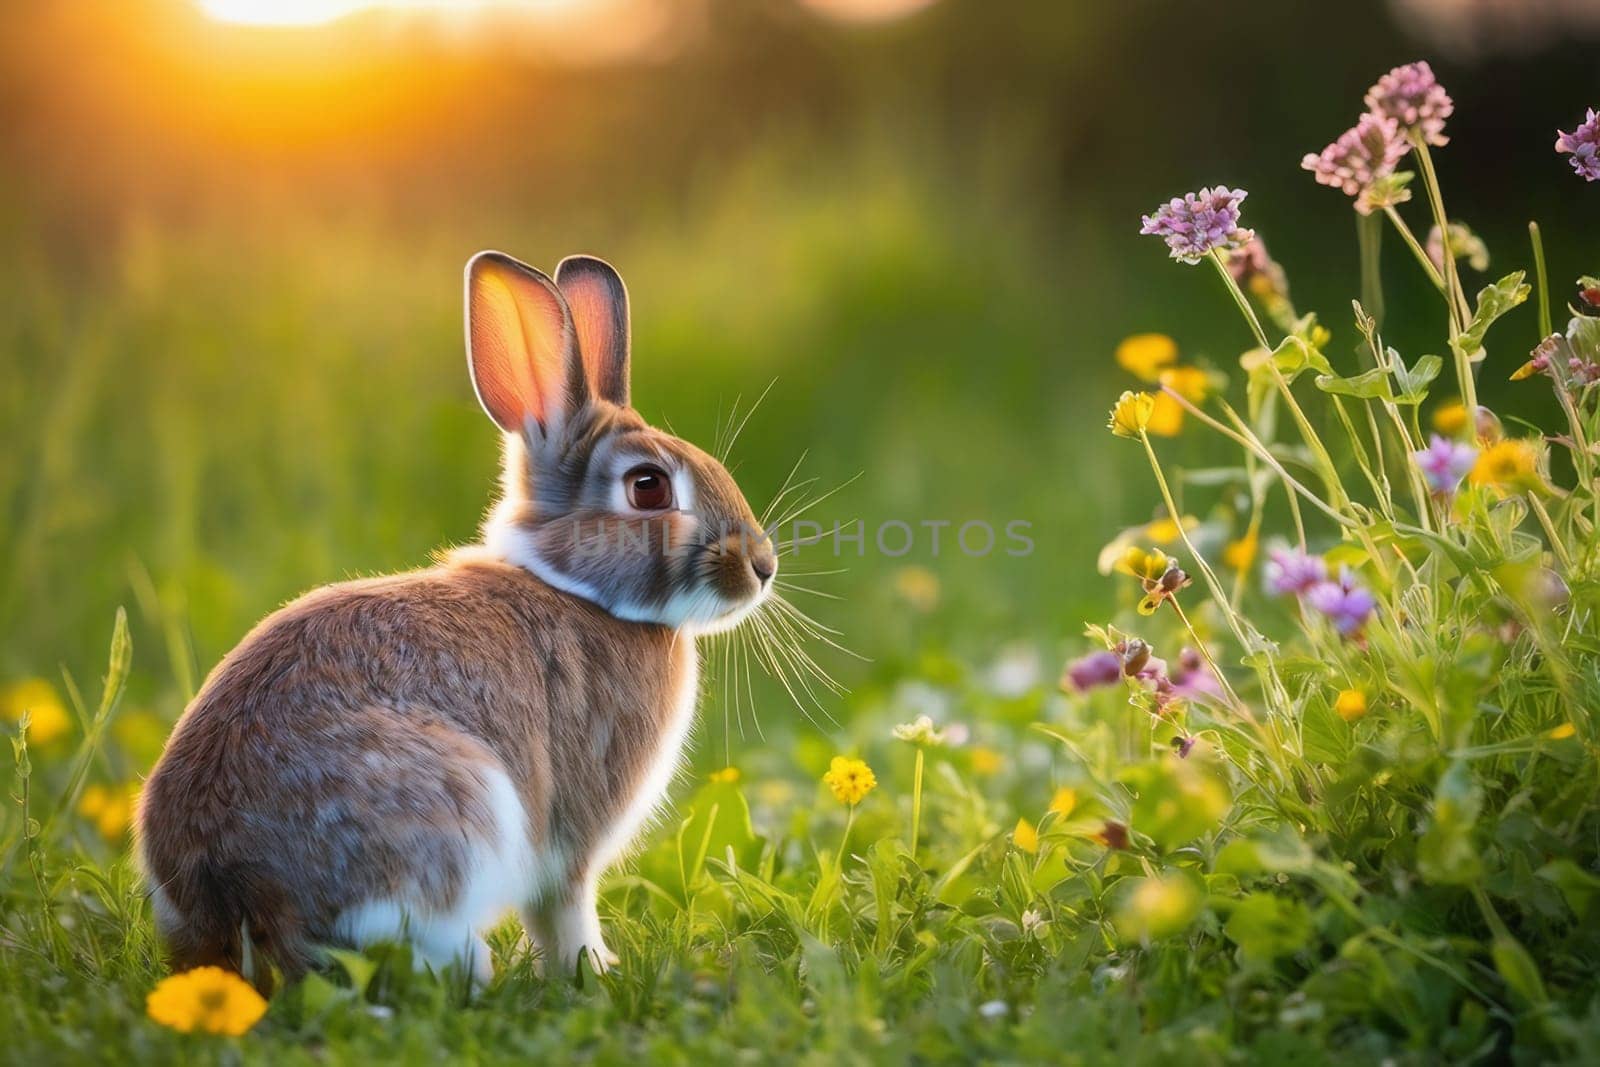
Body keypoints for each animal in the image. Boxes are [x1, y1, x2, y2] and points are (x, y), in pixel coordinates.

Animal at [136, 251, 774, 985]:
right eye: (648, 487)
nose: (763, 566)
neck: (576, 589)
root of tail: (237, 892)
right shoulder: (571, 836)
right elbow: (565, 908)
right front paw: (593, 971)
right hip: (456, 818)